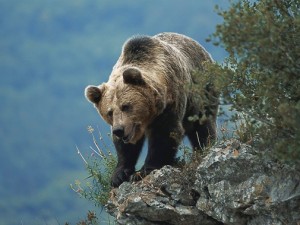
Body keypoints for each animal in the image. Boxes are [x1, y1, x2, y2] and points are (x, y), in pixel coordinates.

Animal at [84, 32, 218, 187]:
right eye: (109, 112)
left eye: (126, 106)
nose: (119, 130)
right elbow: (125, 148)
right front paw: (119, 175)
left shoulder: (170, 104)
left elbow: (164, 135)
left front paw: (144, 171)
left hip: (202, 92)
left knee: (203, 126)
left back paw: (205, 147)